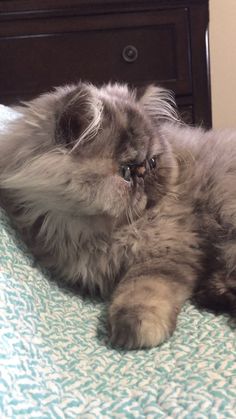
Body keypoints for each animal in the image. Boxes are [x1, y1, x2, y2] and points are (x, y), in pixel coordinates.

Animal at [0, 83, 236, 352]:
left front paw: (135, 329)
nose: (143, 174)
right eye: (125, 170)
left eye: (152, 162)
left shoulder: (167, 251)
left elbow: (143, 291)